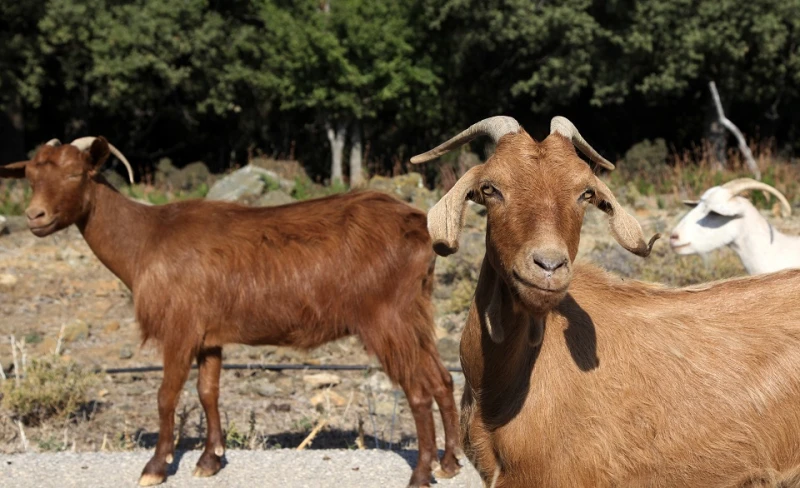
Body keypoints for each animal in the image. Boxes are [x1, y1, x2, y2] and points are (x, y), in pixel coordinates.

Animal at [1, 139, 462, 486]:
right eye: (30, 177)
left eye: (76, 174)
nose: (35, 216)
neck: (145, 240)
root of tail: (420, 226)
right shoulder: (210, 337)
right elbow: (208, 392)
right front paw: (210, 460)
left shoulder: (180, 328)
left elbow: (166, 394)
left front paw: (155, 467)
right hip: (414, 314)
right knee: (441, 379)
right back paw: (449, 463)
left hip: (387, 318)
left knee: (418, 390)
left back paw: (421, 474)